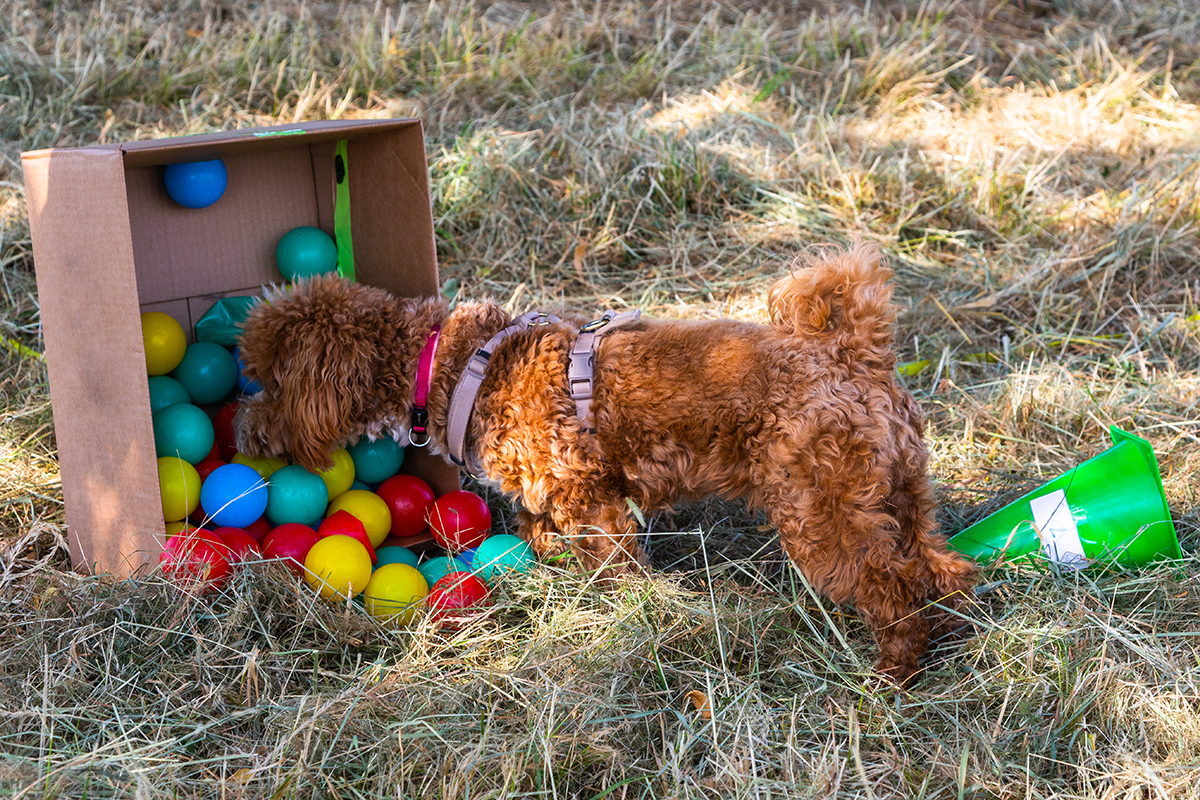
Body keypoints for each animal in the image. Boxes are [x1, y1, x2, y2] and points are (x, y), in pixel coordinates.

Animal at [234, 242, 974, 681]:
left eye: (266, 380)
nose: (242, 434)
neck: (455, 365)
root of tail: (855, 356)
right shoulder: (556, 500)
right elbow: (538, 533)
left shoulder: (592, 502)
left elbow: (616, 574)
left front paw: (628, 621)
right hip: (899, 494)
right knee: (943, 569)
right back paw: (948, 634)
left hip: (821, 512)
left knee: (892, 587)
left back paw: (893, 672)